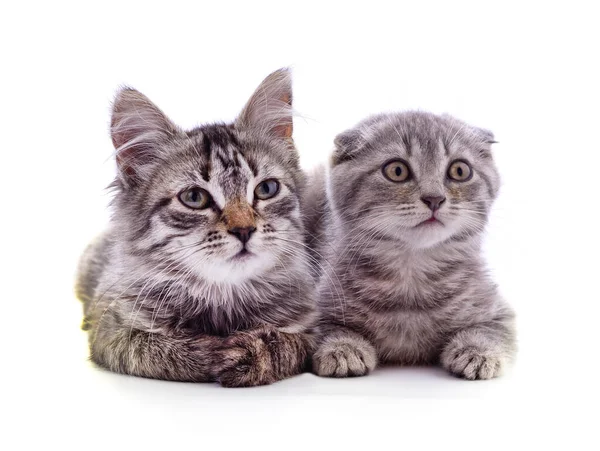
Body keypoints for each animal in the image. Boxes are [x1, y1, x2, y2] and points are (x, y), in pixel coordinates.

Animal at [76, 69, 314, 386]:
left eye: (266, 189)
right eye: (194, 197)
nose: (244, 230)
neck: (223, 298)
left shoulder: (309, 327)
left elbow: (286, 343)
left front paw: (254, 353)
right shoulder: (112, 327)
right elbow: (157, 349)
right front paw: (214, 352)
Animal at [310, 111, 516, 380]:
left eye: (460, 170)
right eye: (397, 170)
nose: (434, 198)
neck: (411, 273)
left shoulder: (500, 311)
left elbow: (490, 330)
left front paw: (477, 351)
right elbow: (326, 327)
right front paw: (342, 348)